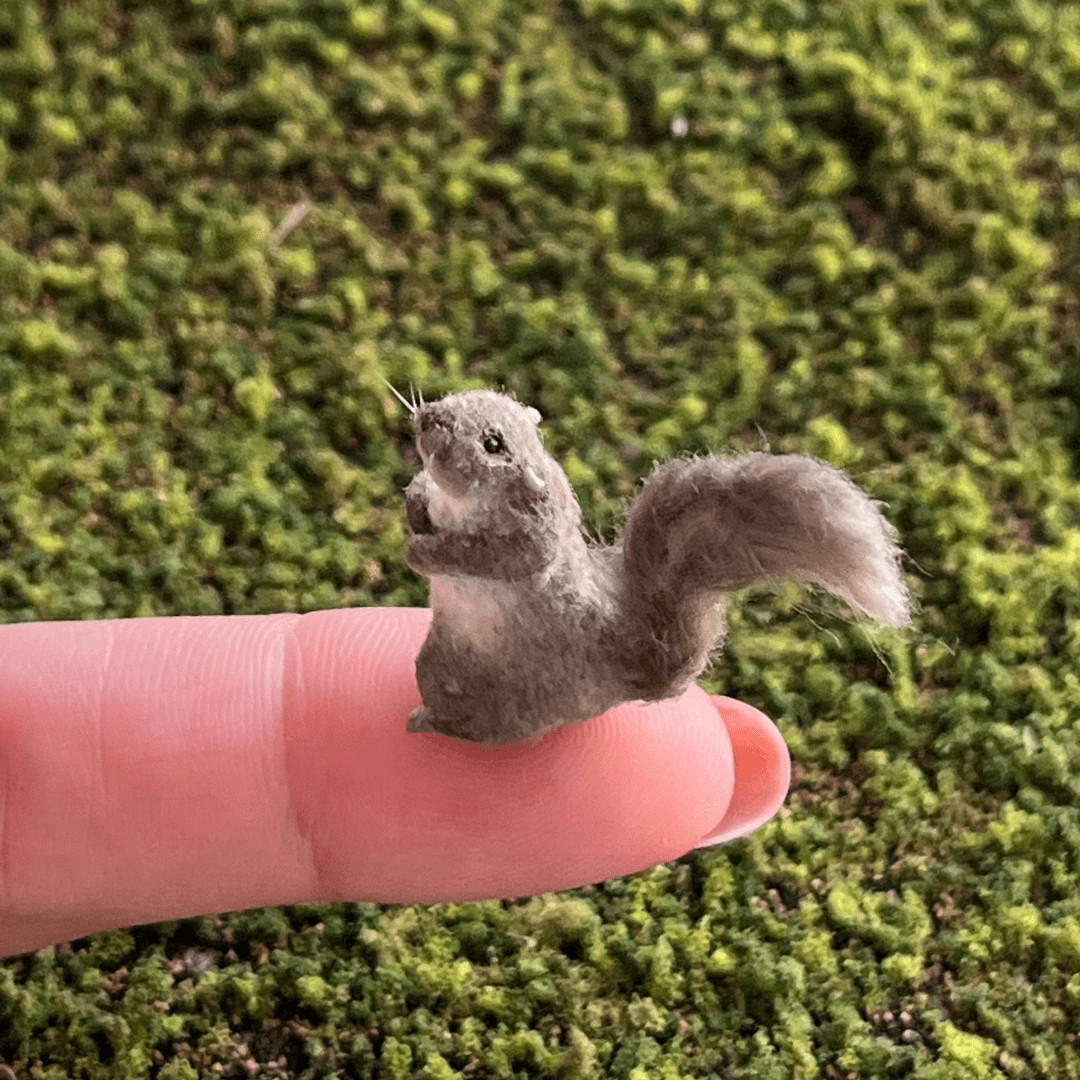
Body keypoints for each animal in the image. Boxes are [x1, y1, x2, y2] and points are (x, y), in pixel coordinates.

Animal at [397, 389, 910, 744]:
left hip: (474, 684)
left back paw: (428, 723)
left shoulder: (531, 534)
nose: (428, 415)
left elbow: (497, 556)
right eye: (461, 396)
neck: (458, 504)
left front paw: (424, 554)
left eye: (492, 443)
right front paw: (415, 502)